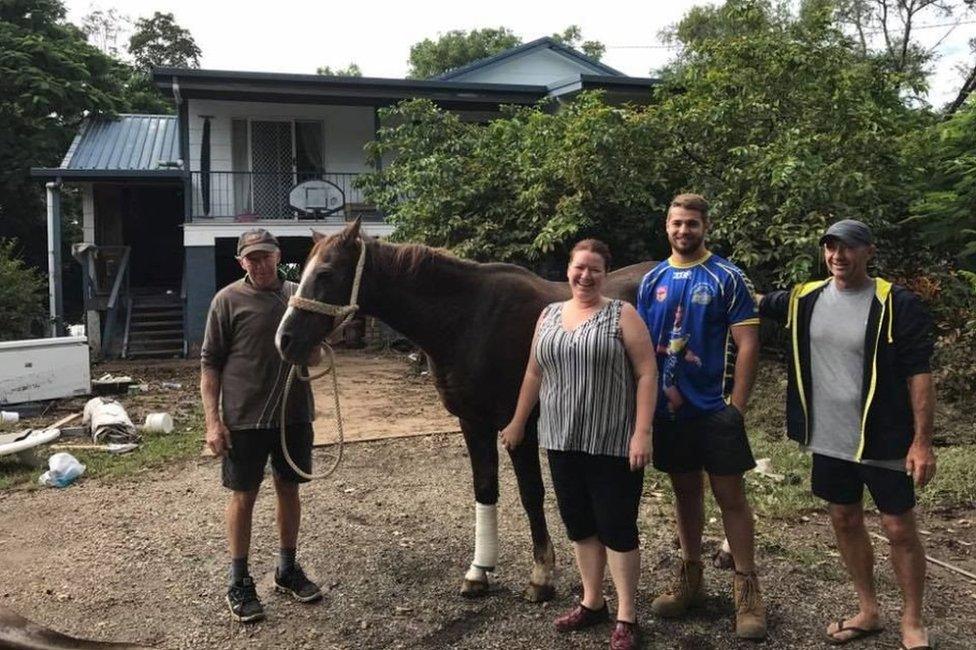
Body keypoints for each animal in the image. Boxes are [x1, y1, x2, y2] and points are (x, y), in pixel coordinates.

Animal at [276, 220, 656, 600]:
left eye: (325, 273)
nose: (285, 340)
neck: (467, 319)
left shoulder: (518, 426)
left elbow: (531, 494)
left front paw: (541, 575)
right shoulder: (472, 422)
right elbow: (484, 488)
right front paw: (479, 571)